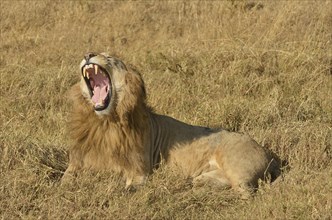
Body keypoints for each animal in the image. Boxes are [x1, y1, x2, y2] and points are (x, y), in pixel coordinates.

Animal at [63, 52, 282, 195]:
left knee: (248, 193)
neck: (104, 123)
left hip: (236, 165)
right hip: (207, 177)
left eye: (110, 58)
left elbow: (127, 187)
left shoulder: (140, 170)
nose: (88, 54)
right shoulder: (78, 162)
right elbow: (66, 179)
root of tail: (270, 156)